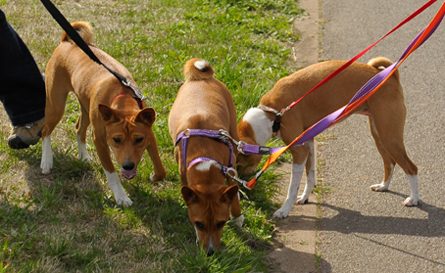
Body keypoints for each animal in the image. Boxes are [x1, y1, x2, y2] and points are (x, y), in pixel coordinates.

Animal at [39, 21, 165, 205]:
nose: (128, 166)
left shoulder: (150, 134)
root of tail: (66, 42)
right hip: (57, 104)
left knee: (79, 128)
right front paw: (121, 197)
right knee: (46, 130)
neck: (122, 99)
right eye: (116, 140)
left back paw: (84, 156)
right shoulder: (99, 141)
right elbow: (111, 172)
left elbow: (160, 168)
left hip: (86, 105)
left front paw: (155, 176)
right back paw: (47, 161)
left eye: (139, 139)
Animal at [167, 58, 243, 254]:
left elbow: (233, 193)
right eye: (199, 224)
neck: (204, 157)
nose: (210, 252)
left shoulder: (231, 169)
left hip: (233, 132)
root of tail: (200, 80)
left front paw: (237, 216)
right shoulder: (184, 175)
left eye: (221, 223)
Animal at [238, 56, 418, 217]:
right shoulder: (308, 144)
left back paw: (414, 199)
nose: (240, 185)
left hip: (389, 137)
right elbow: (310, 176)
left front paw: (284, 210)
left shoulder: (299, 152)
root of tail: (391, 76)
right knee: (390, 163)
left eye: (238, 164)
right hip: (379, 135)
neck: (273, 113)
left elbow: (292, 189)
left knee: (411, 168)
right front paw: (305, 197)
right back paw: (383, 186)